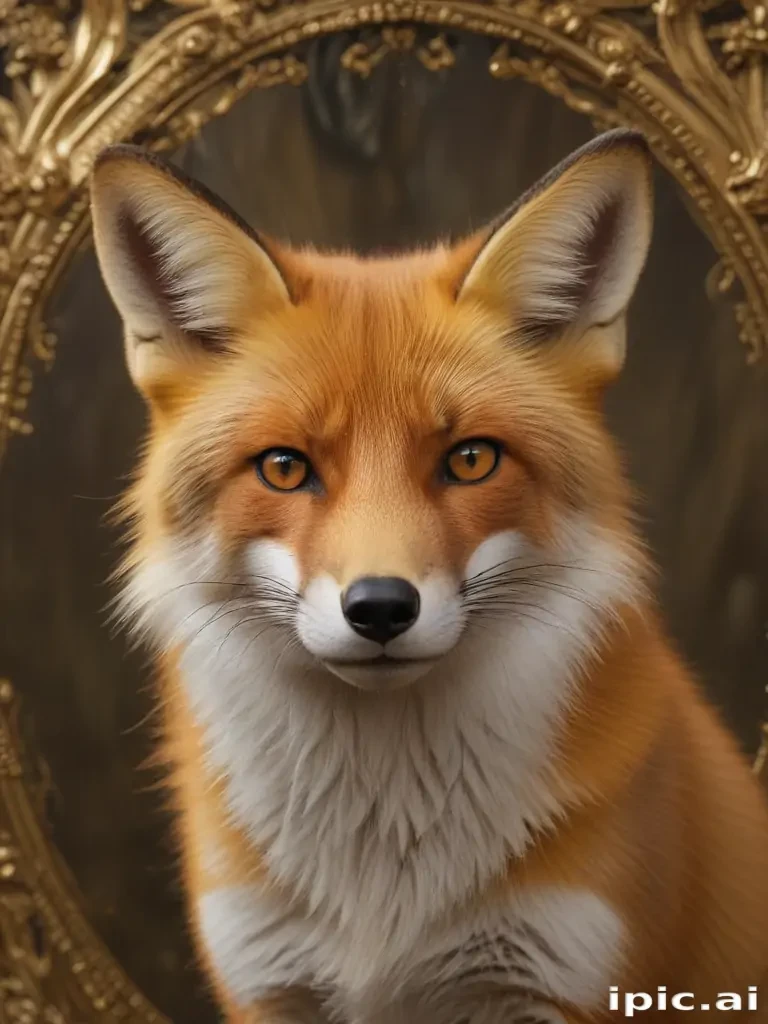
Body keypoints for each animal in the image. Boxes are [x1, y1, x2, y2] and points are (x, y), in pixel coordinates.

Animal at [90, 129, 768, 1024]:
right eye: (284, 468)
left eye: (471, 459)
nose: (380, 608)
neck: (382, 864)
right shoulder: (270, 984)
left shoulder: (558, 977)